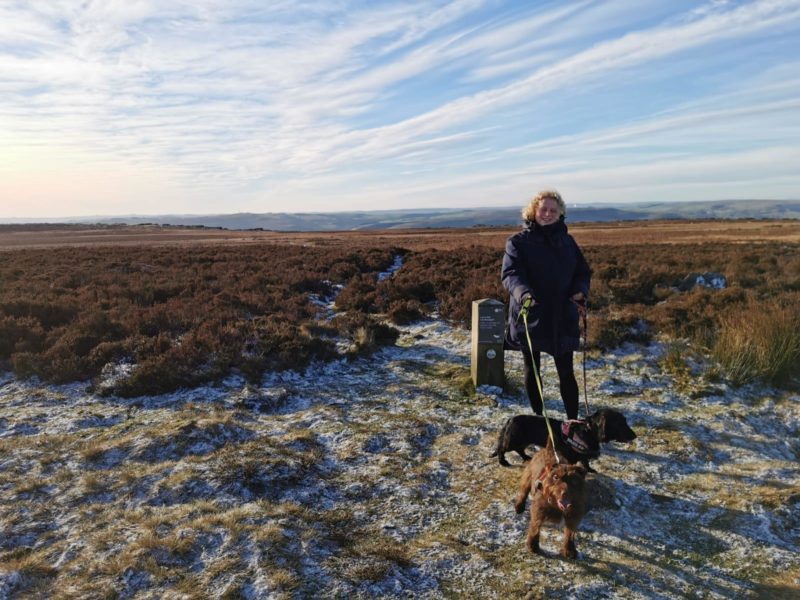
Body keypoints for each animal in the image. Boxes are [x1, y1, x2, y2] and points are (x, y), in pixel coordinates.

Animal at [490, 408, 636, 468]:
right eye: (621, 423)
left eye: (625, 421)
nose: (635, 436)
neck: (589, 430)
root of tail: (510, 420)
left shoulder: (582, 456)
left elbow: (585, 463)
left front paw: (591, 470)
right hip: (513, 440)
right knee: (501, 449)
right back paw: (503, 462)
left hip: (523, 441)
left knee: (519, 449)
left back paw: (526, 457)